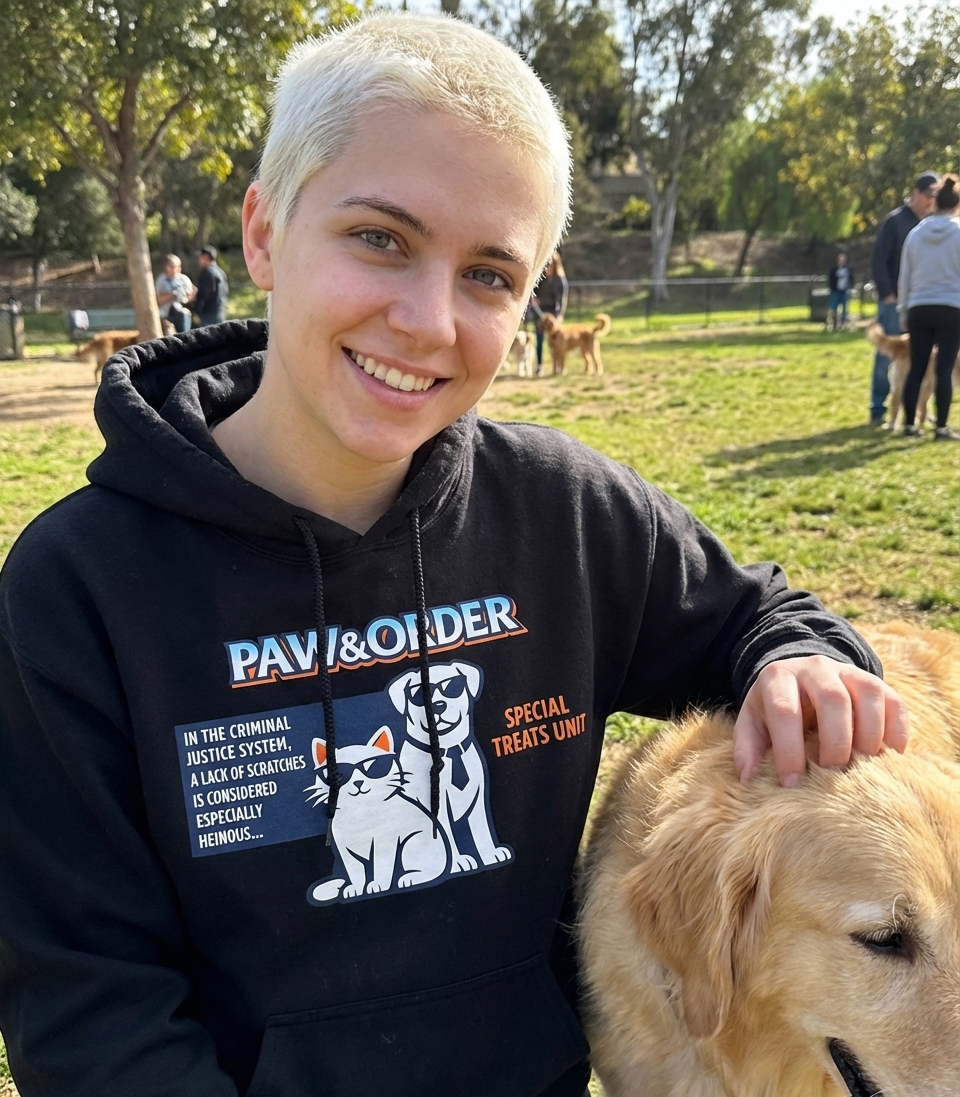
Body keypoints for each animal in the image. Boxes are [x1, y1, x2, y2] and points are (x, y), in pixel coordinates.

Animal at [305, 725, 449, 905]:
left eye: (372, 766)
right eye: (340, 773)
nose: (358, 782)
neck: (361, 812)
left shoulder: (384, 843)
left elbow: (381, 867)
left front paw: (378, 886)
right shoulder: (346, 850)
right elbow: (355, 873)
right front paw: (355, 890)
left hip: (410, 844)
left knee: (429, 869)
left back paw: (409, 878)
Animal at [388, 660, 513, 874]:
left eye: (452, 686)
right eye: (418, 692)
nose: (438, 705)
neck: (449, 750)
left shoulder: (478, 797)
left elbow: (482, 829)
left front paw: (489, 855)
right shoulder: (438, 805)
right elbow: (446, 835)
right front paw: (457, 863)